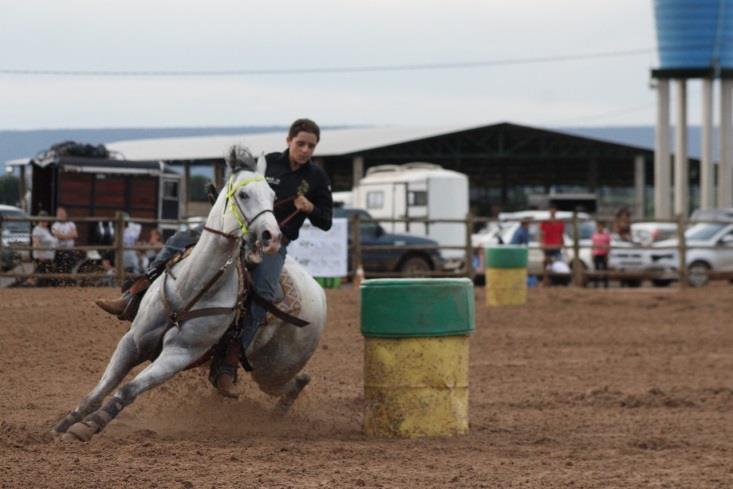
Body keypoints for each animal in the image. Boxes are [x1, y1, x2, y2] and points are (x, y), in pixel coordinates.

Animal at [51, 150, 326, 442]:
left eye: (273, 197)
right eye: (243, 195)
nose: (272, 236)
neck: (190, 286)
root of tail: (318, 291)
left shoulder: (178, 354)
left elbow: (128, 389)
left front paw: (89, 426)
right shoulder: (133, 340)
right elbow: (102, 387)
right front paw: (65, 423)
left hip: (274, 370)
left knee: (299, 381)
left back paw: (276, 415)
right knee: (297, 381)